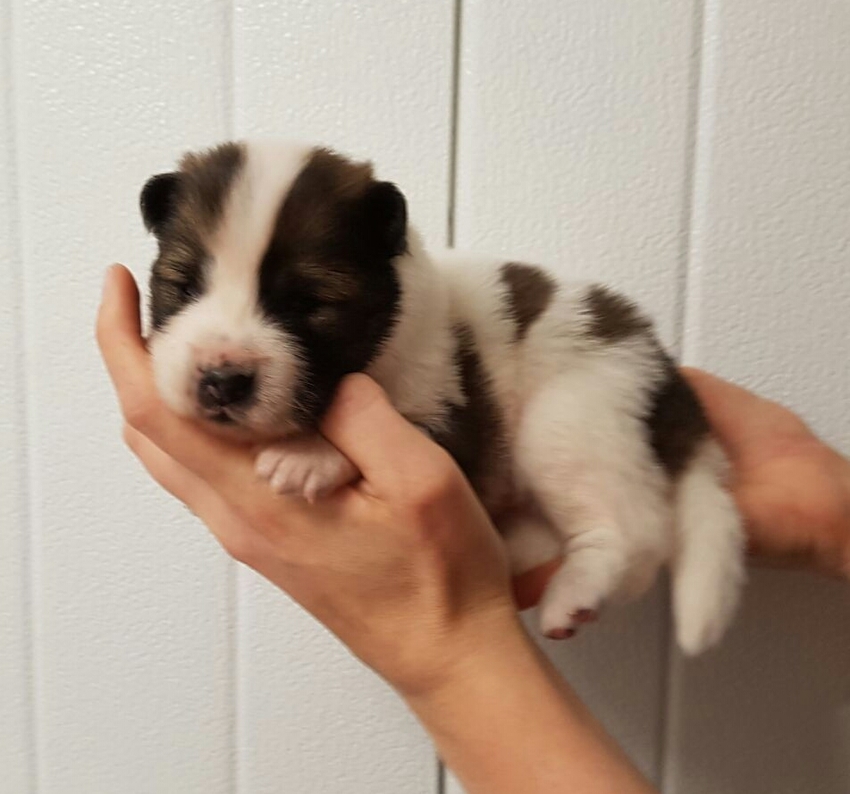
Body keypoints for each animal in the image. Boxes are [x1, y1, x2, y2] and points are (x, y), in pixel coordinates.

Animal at [140, 140, 745, 654]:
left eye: (308, 304)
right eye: (185, 286)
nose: (221, 380)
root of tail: (662, 366)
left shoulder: (451, 409)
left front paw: (309, 454)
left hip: (573, 419)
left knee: (638, 533)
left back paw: (576, 592)